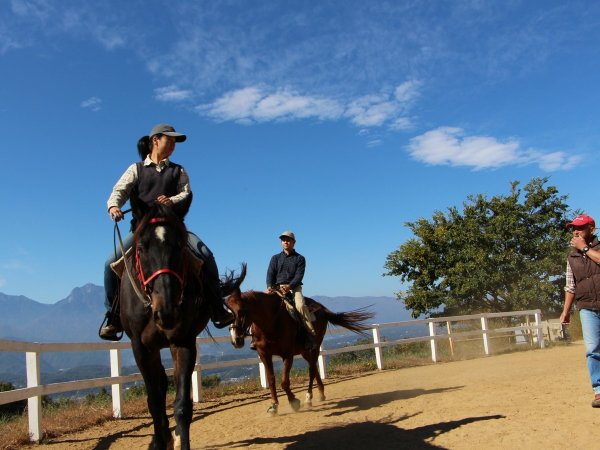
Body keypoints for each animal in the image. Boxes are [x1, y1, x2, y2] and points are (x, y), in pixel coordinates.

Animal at [119, 205, 227, 450]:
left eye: (179, 245)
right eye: (142, 247)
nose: (166, 310)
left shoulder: (183, 341)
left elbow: (182, 405)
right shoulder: (141, 348)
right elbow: (154, 403)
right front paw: (159, 442)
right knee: (158, 388)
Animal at [226, 264, 376, 414]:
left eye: (241, 311)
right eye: (227, 313)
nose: (235, 340)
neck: (270, 323)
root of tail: (322, 309)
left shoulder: (288, 354)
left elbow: (284, 381)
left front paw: (294, 401)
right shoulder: (264, 354)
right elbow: (271, 379)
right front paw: (274, 405)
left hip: (316, 345)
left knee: (311, 369)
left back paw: (309, 397)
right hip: (304, 351)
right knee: (314, 367)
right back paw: (320, 393)